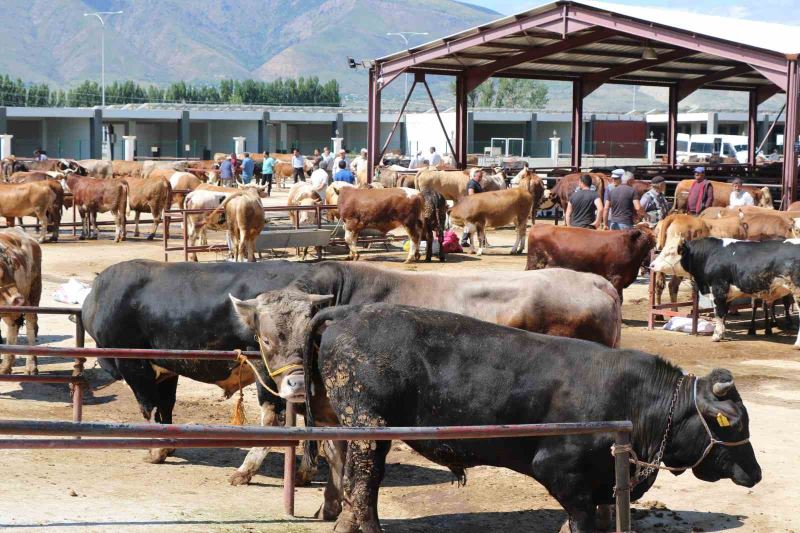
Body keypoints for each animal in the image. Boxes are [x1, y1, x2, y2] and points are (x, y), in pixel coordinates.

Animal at [0, 225, 41, 374]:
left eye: (13, 268)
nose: (17, 299)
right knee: (13, 327)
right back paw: (6, 365)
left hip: (33, 295)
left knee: (31, 325)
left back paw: (31, 366)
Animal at [82, 258, 310, 470]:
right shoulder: (167, 368)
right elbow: (166, 405)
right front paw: (168, 445)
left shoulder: (133, 365)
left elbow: (149, 407)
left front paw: (156, 451)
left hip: (267, 372)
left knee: (273, 416)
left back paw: (246, 471)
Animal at [234, 300, 760, 532]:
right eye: (733, 423)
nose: (755, 473)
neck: (635, 401)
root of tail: (348, 313)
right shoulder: (562, 472)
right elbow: (581, 519)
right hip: (368, 428)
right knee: (362, 485)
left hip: (357, 429)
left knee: (353, 481)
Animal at [664, 236, 800, 342]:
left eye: (670, 253)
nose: (656, 265)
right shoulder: (727, 294)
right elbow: (724, 313)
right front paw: (722, 334)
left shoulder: (718, 289)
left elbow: (719, 313)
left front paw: (716, 336)